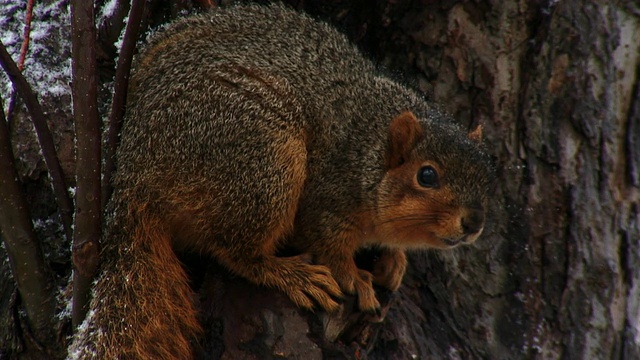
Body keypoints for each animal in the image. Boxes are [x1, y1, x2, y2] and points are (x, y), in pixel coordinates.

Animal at [70, 3, 496, 360]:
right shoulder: (327, 195)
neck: (368, 150)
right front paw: (356, 278)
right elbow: (328, 245)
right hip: (263, 162)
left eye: (488, 173)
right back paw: (291, 274)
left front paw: (394, 260)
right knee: (235, 251)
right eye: (427, 175)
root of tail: (135, 166)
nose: (475, 223)